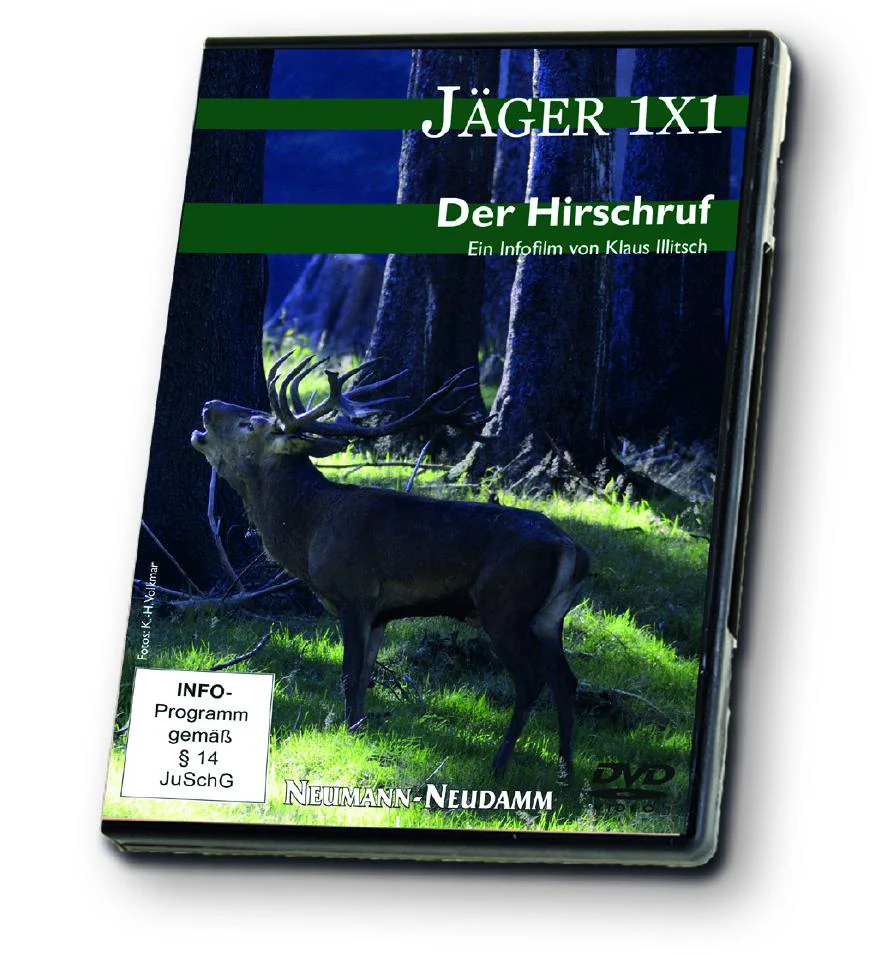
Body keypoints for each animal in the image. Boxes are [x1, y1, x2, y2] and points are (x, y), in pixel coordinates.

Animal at [191, 352, 590, 777]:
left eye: (250, 423)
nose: (208, 405)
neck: (310, 529)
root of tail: (571, 549)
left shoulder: (355, 593)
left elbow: (349, 672)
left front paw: (347, 730)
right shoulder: (382, 612)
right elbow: (366, 672)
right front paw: (360, 727)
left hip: (504, 605)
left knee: (531, 680)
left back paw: (499, 765)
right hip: (549, 617)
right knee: (566, 680)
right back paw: (566, 769)